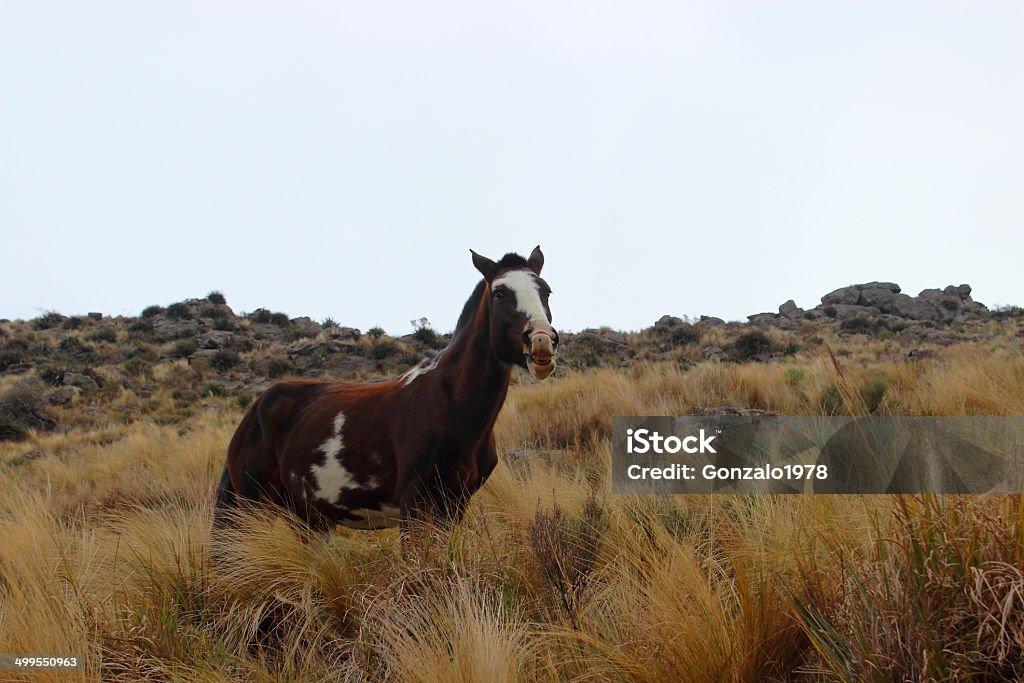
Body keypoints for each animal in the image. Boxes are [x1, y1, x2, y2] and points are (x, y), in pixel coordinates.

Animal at [210, 246, 557, 532]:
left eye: (546, 291)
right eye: (499, 293)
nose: (542, 342)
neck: (448, 402)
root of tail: (254, 412)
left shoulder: (455, 505)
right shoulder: (415, 505)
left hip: (312, 519)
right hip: (254, 510)